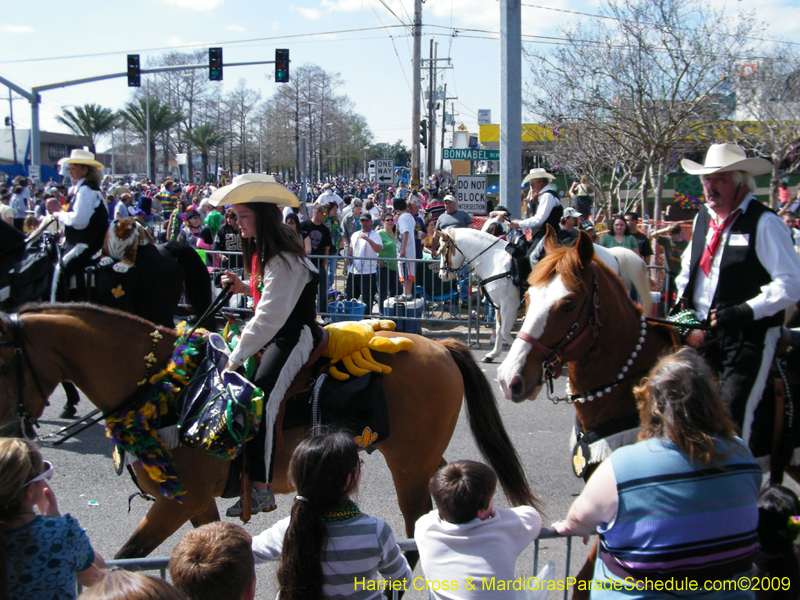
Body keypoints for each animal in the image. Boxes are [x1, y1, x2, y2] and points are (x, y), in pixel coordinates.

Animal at [0, 302, 536, 560]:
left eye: (4, 362)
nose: (9, 434)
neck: (171, 388)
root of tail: (441, 346)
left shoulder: (178, 503)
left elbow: (130, 555)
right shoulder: (191, 505)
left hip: (408, 464)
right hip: (424, 461)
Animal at [438, 229, 648, 360]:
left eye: (442, 250)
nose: (442, 275)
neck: (494, 260)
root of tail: (611, 254)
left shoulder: (509, 305)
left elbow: (506, 332)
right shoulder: (499, 306)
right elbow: (499, 329)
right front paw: (493, 354)